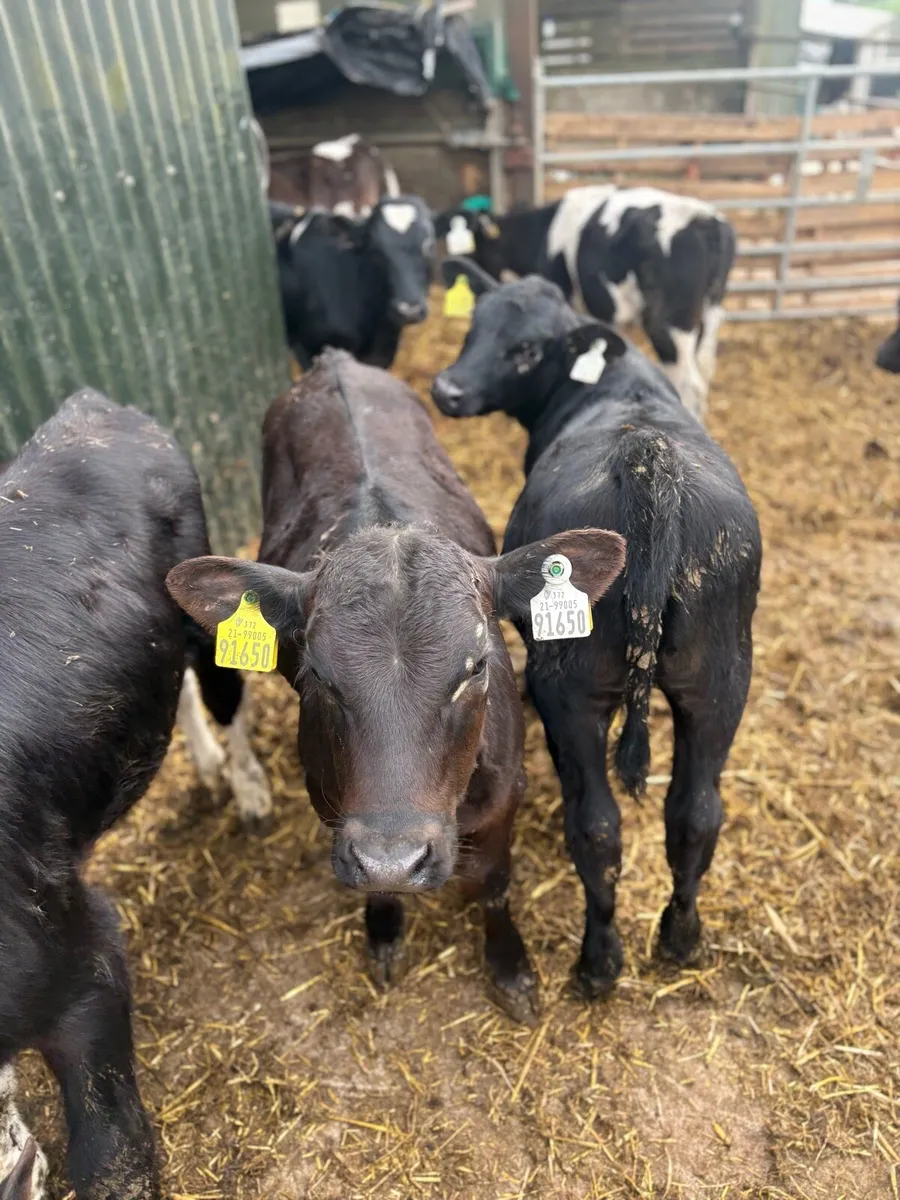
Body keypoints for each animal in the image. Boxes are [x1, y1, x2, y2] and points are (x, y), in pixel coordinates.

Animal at [167, 350, 626, 1022]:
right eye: (314, 673)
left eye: (477, 666)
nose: (394, 858)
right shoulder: (331, 801)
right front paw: (384, 931)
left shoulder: (505, 795)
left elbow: (494, 883)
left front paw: (510, 968)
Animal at [432, 259, 761, 999]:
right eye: (473, 325)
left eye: (526, 350)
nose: (447, 389)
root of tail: (648, 458)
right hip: (721, 683)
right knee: (696, 814)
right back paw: (680, 939)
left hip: (569, 689)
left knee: (597, 827)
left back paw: (598, 962)